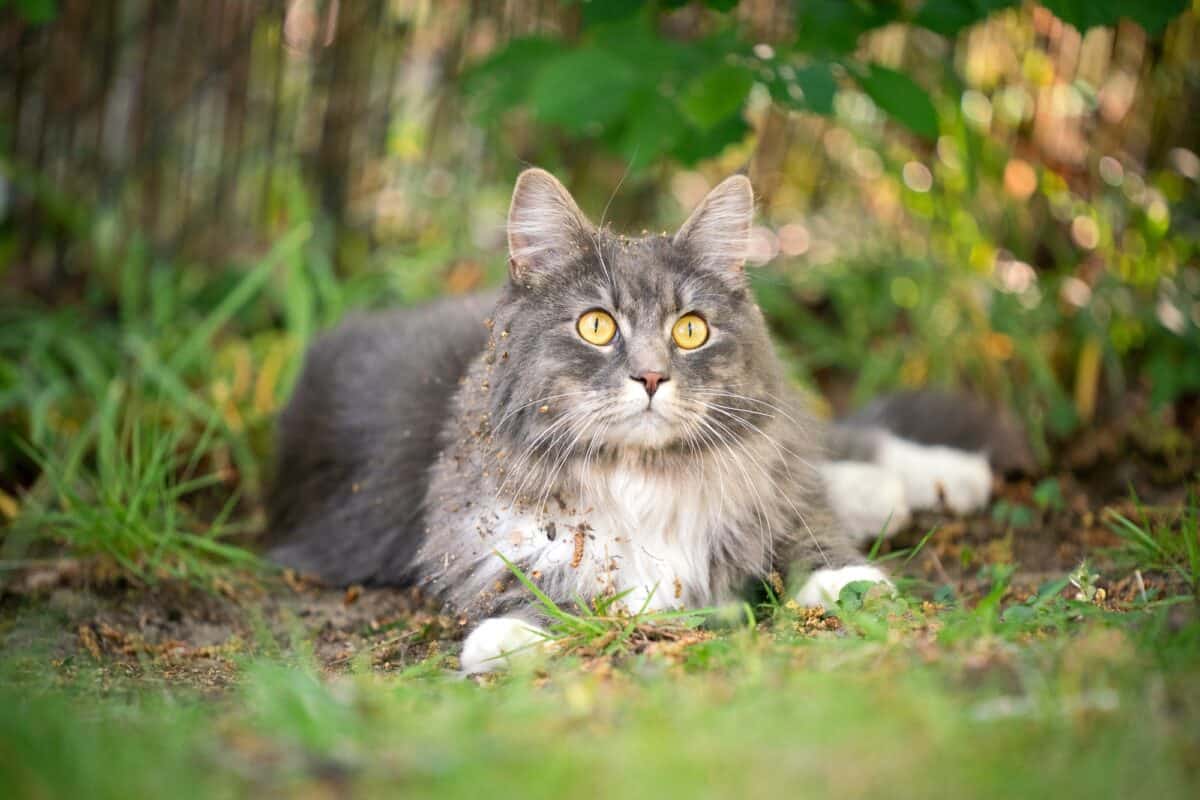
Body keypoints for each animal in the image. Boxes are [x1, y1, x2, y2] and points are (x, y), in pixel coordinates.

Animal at [267, 170, 998, 676]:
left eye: (691, 329)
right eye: (597, 325)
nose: (650, 376)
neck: (645, 474)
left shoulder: (768, 487)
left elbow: (805, 526)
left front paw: (847, 582)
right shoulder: (466, 527)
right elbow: (520, 579)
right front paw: (515, 636)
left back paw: (943, 477)